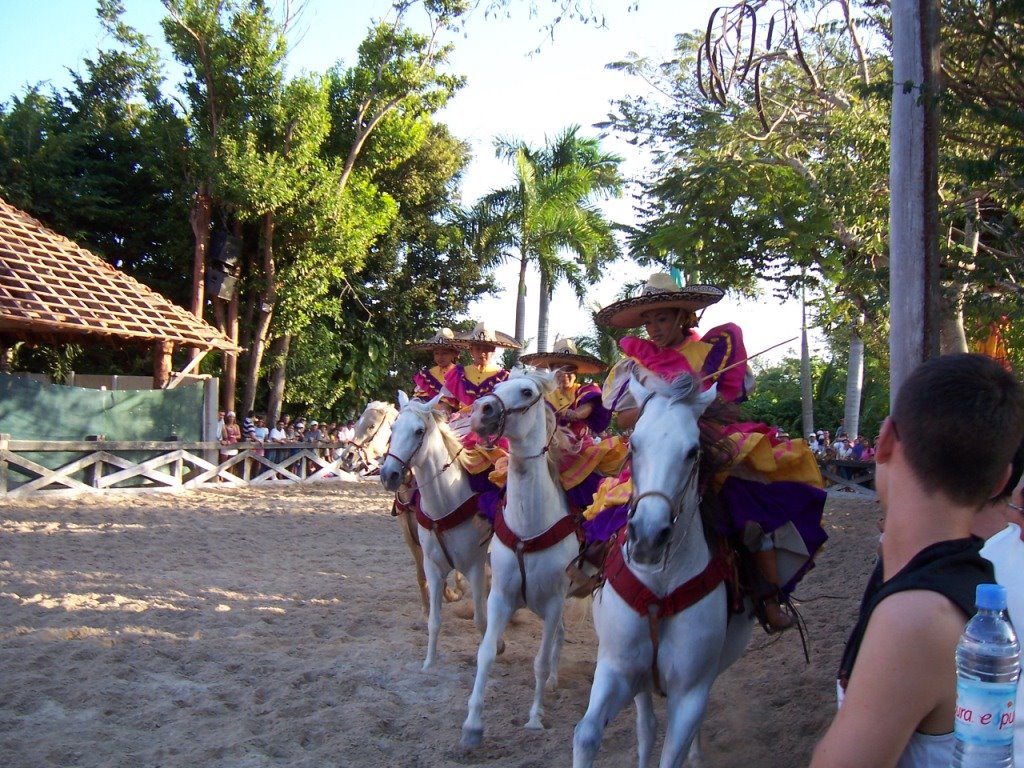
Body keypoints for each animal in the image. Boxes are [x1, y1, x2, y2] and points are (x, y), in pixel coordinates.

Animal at [380, 393, 491, 671]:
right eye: (393, 428)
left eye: (419, 431)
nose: (389, 474)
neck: (446, 503)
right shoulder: (432, 563)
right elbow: (434, 619)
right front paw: (429, 664)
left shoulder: (475, 566)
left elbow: (481, 620)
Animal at [462, 370, 581, 749]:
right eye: (496, 388)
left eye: (527, 391)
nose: (480, 412)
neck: (529, 527)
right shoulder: (500, 598)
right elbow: (485, 653)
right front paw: (472, 725)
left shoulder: (555, 601)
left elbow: (539, 662)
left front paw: (534, 719)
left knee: (558, 639)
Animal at [573, 370, 757, 765]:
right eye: (633, 445)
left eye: (692, 452)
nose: (647, 537)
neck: (661, 587)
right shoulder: (617, 667)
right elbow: (587, 734)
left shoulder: (690, 693)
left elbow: (675, 749)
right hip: (642, 680)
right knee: (646, 727)